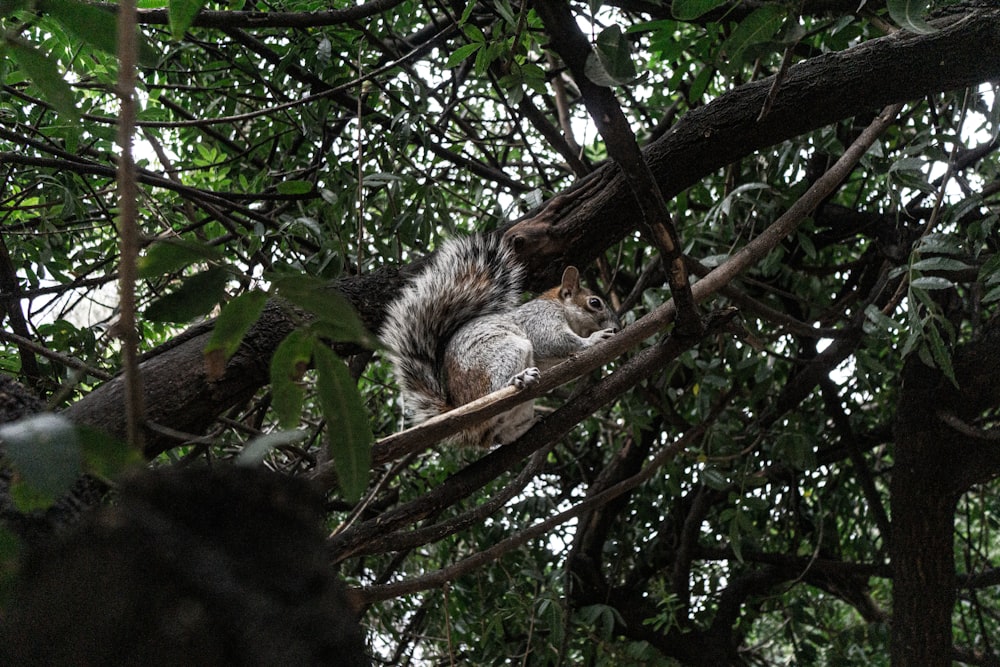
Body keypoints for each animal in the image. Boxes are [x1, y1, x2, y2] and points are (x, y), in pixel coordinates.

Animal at [380, 235, 620, 448]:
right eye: (595, 303)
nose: (618, 327)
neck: (561, 307)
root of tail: (463, 415)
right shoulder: (541, 319)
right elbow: (557, 341)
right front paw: (595, 339)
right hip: (503, 354)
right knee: (495, 394)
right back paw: (517, 380)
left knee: (501, 436)